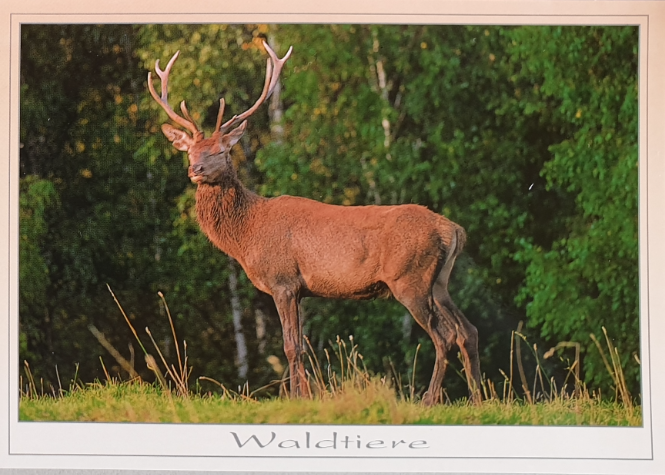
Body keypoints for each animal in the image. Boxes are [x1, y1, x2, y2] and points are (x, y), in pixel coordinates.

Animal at [149, 41, 482, 406]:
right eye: (191, 150)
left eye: (221, 151)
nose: (194, 169)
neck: (246, 236)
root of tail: (453, 230)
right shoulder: (300, 289)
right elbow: (300, 346)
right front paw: (303, 395)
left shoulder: (282, 280)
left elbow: (290, 347)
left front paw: (298, 399)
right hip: (439, 282)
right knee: (468, 331)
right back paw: (481, 398)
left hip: (410, 278)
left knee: (443, 336)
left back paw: (429, 399)